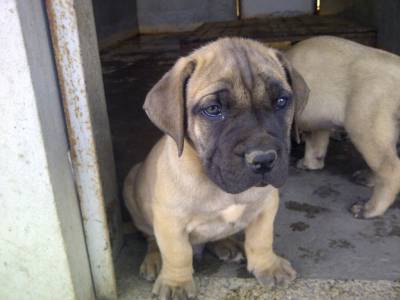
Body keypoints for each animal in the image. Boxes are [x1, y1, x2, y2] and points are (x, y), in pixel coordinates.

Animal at [123, 37, 308, 300]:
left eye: (281, 102)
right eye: (213, 110)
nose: (263, 159)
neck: (220, 188)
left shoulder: (266, 205)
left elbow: (262, 238)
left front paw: (267, 265)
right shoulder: (170, 220)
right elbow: (177, 252)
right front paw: (176, 283)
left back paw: (227, 244)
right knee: (150, 237)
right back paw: (154, 259)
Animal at [286, 35, 400, 218]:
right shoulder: (317, 116)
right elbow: (316, 140)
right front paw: (310, 162)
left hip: (365, 112)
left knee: (388, 165)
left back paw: (369, 209)